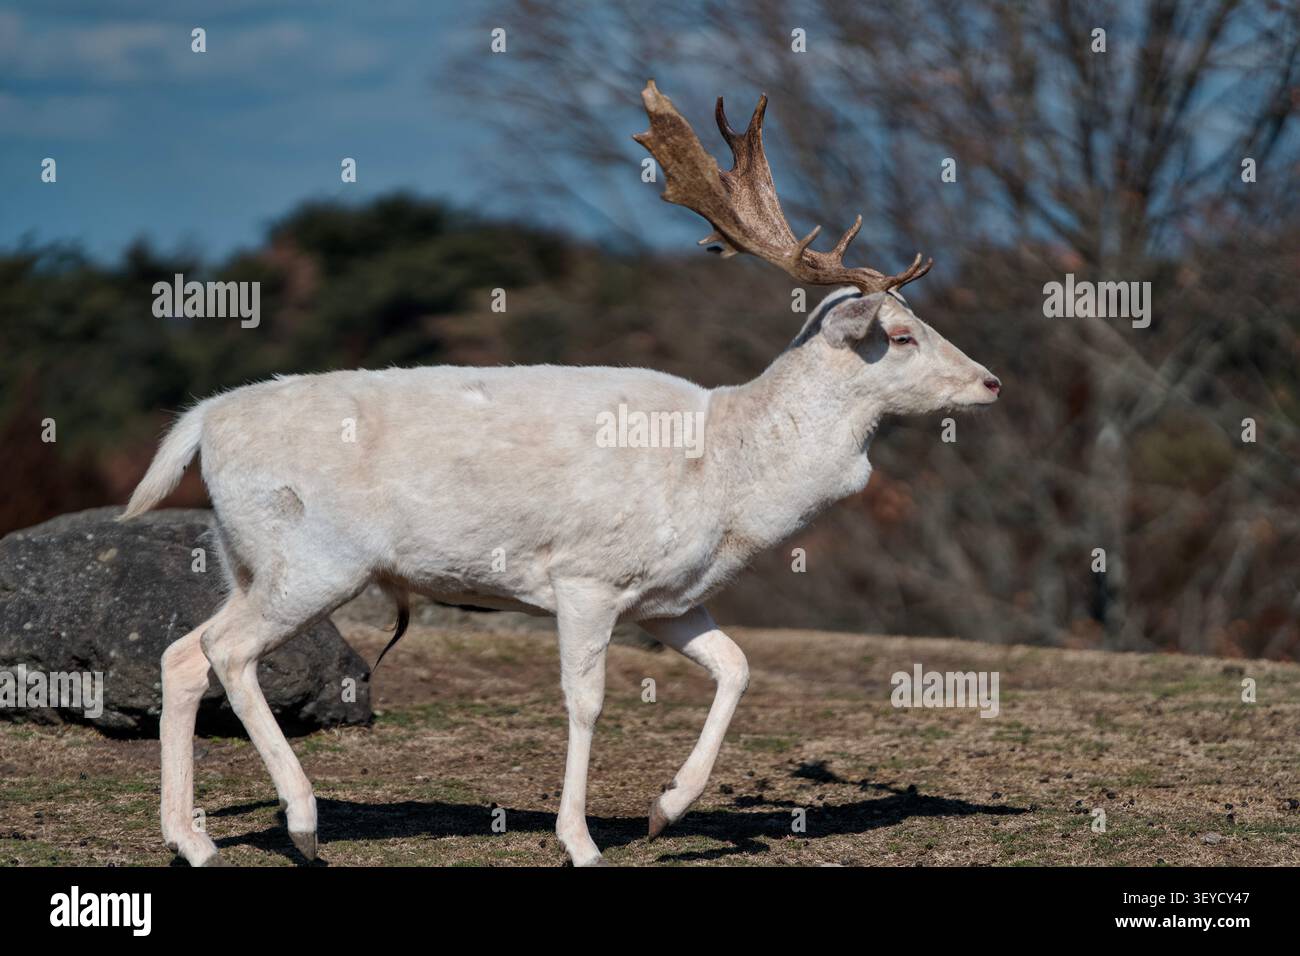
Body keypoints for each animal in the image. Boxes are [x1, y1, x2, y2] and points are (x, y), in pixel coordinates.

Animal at [121, 81, 1000, 868]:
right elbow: (587, 700)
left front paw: (664, 810)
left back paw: (192, 840)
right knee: (227, 652)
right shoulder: (586, 576)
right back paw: (301, 824)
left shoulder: (669, 599)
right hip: (313, 558)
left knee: (182, 654)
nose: (991, 382)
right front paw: (580, 841)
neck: (728, 472)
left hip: (246, 557)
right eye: (900, 334)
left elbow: (738, 667)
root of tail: (204, 419)